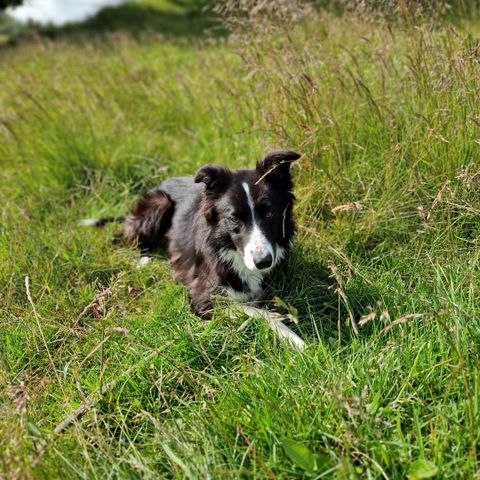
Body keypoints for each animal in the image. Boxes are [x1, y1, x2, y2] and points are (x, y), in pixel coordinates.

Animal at [82, 149, 300, 316]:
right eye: (234, 219)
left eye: (269, 213)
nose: (263, 262)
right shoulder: (203, 297)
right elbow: (262, 314)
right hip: (159, 203)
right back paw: (145, 259)